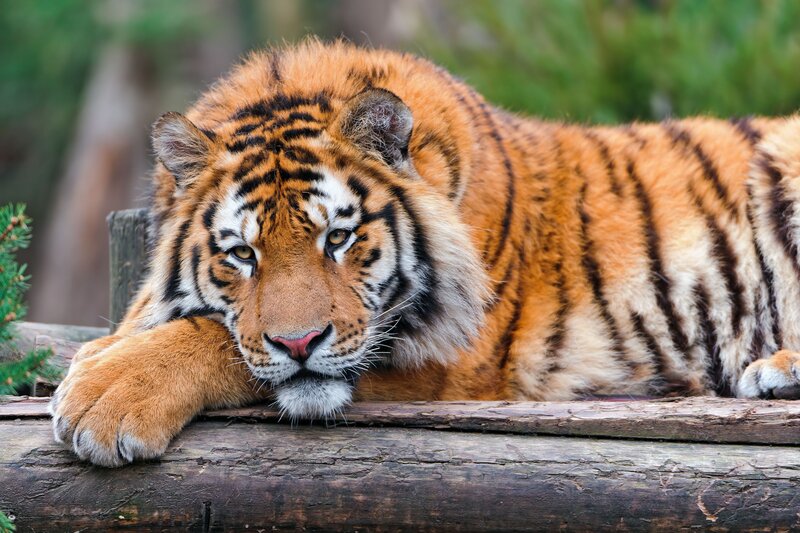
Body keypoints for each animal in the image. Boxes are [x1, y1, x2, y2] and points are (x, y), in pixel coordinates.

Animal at [50, 39, 800, 467]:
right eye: (242, 255)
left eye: (338, 237)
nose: (299, 343)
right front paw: (100, 357)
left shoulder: (448, 358)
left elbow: (219, 340)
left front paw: (104, 396)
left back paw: (777, 369)